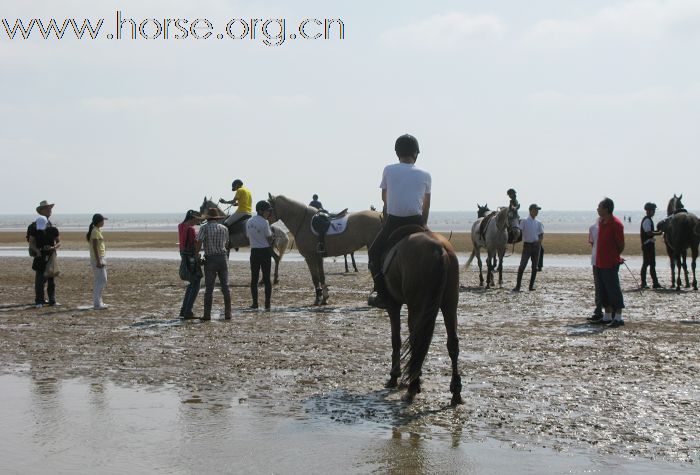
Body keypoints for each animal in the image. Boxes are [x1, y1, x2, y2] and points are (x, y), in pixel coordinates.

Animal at [380, 229, 462, 408]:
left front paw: (394, 376)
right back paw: (455, 392)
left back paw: (412, 387)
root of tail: (440, 250)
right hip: (449, 303)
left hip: (417, 306)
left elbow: (396, 339)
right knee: (452, 343)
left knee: (416, 340)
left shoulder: (393, 304)